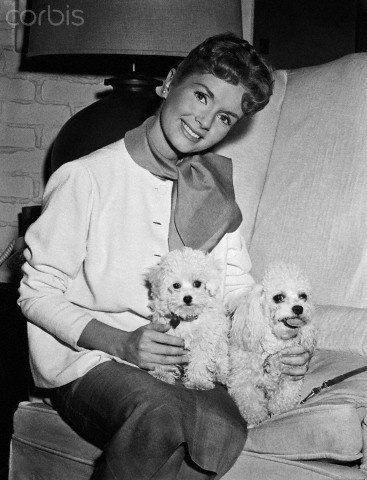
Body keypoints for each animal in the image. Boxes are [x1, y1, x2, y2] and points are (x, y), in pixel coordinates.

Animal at [147, 248, 230, 390]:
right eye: (176, 285)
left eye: (197, 283)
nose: (187, 298)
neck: (187, 317)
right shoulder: (167, 336)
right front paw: (162, 373)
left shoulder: (203, 340)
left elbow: (199, 360)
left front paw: (197, 381)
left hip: (221, 347)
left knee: (221, 362)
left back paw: (223, 376)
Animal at [227, 264, 316, 426]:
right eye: (278, 298)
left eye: (303, 296)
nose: (298, 308)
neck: (272, 347)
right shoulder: (241, 380)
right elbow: (249, 399)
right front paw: (256, 415)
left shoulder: (291, 375)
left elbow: (286, 395)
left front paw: (278, 408)